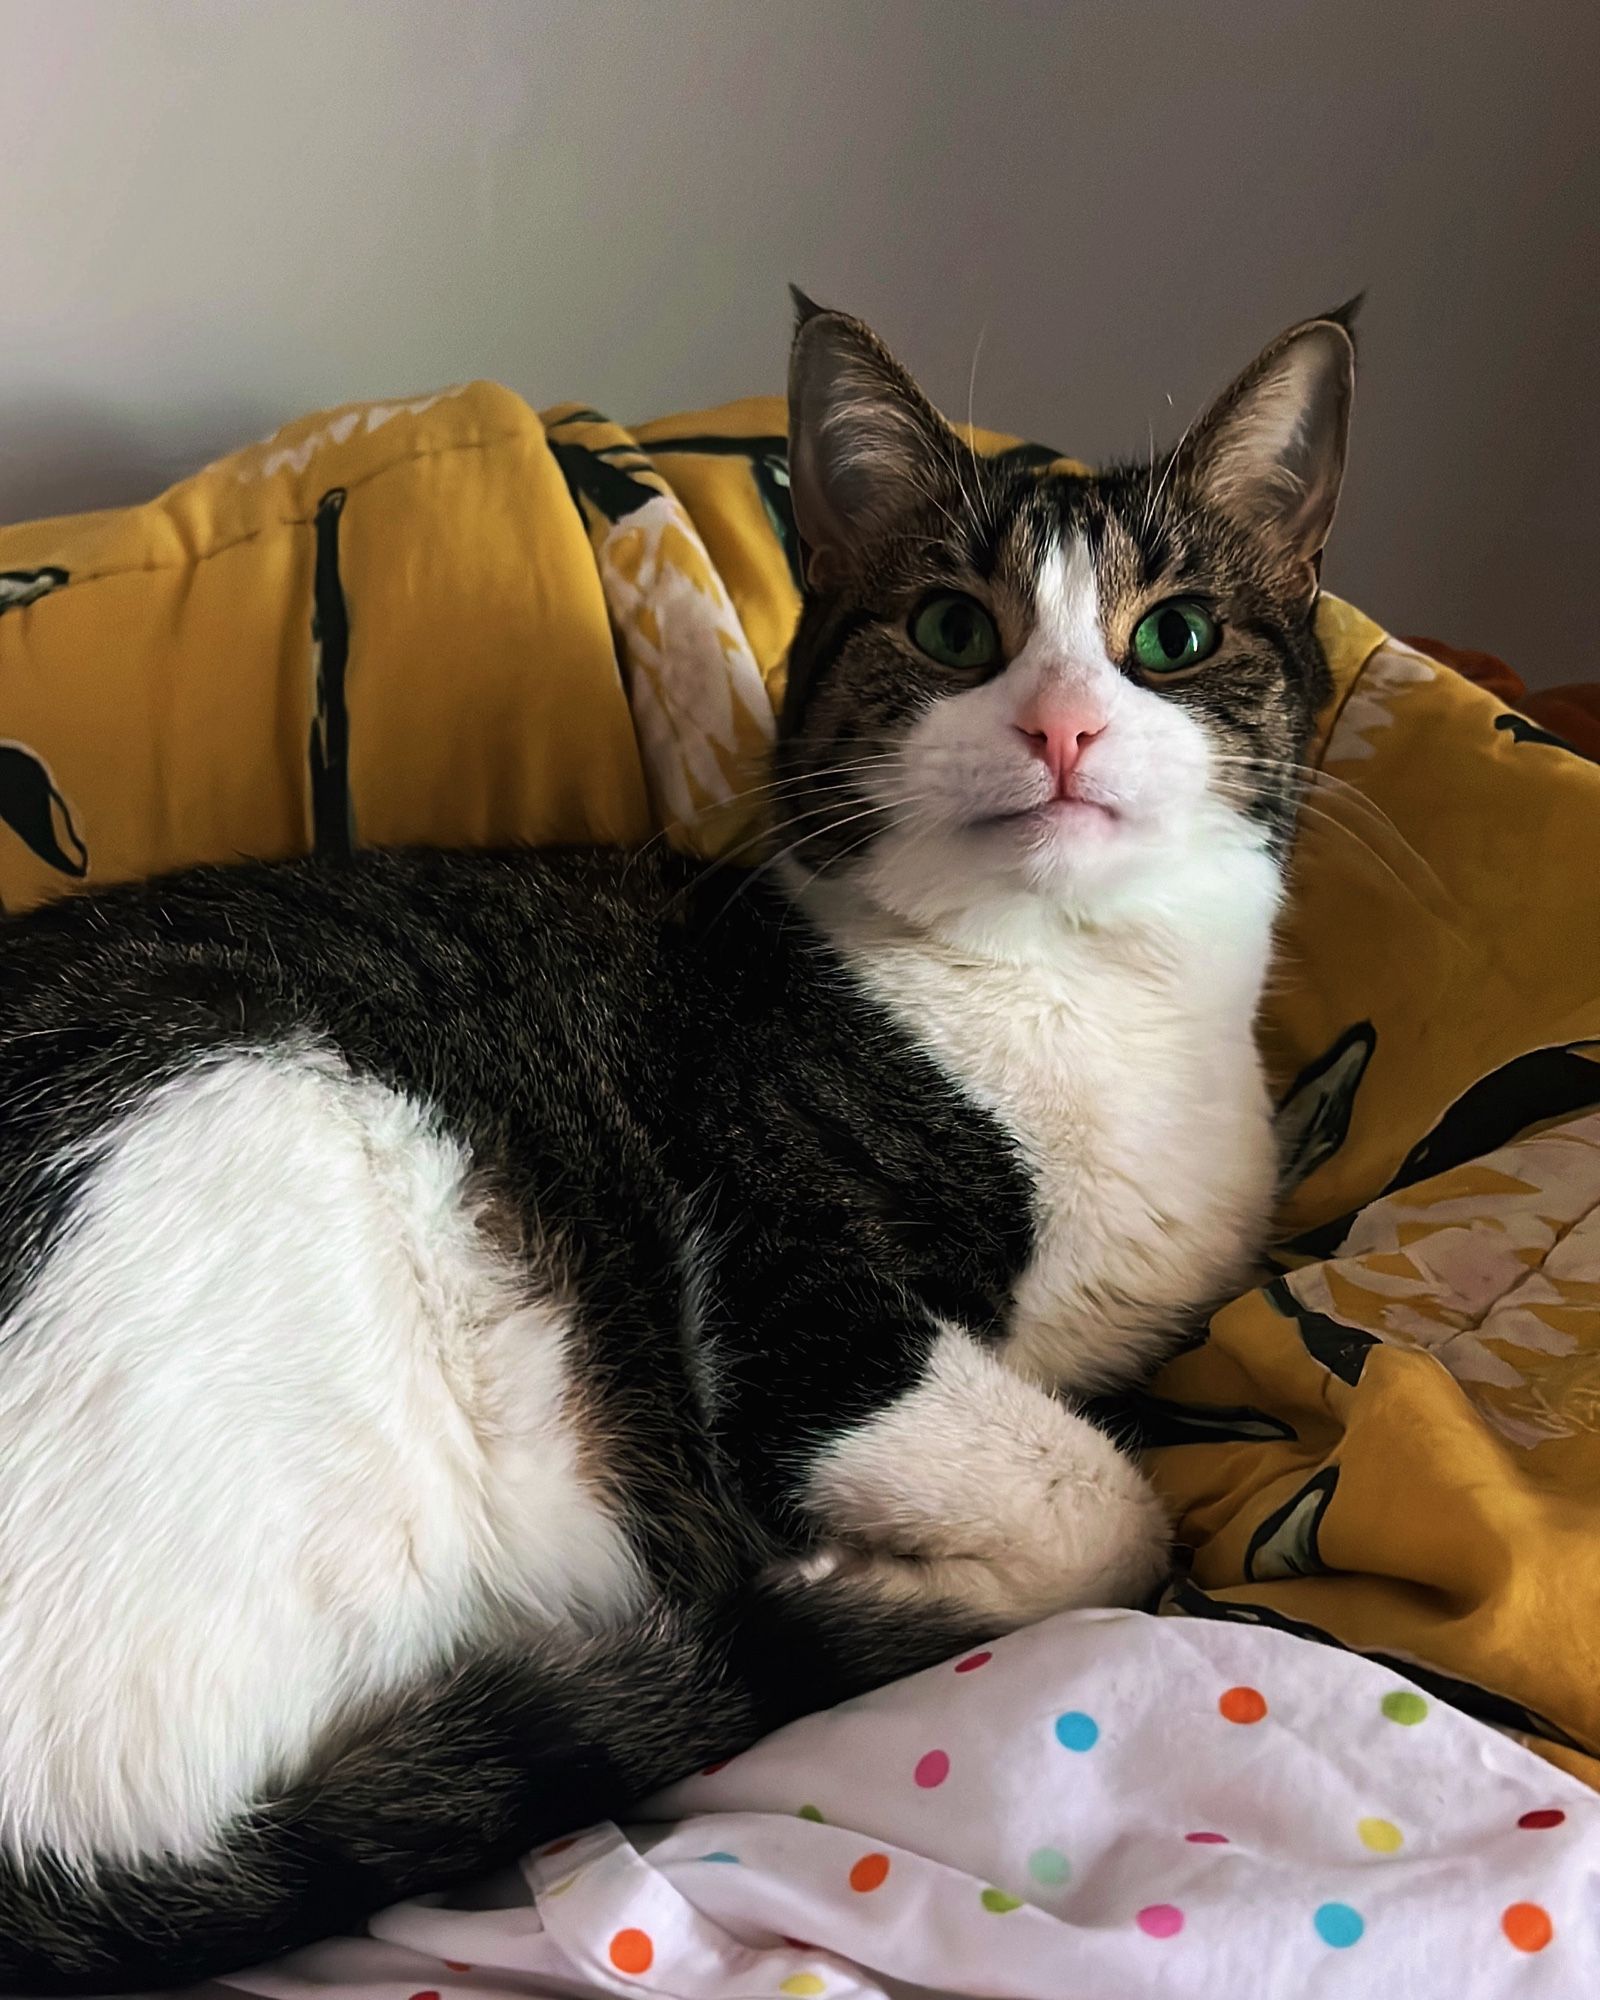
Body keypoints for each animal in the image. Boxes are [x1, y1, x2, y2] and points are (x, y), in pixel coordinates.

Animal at [0, 290, 1352, 1992]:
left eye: (1171, 636)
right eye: (952, 630)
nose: (1060, 726)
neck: (1086, 991)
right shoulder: (800, 1320)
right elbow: (1107, 1508)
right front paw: (897, 1576)